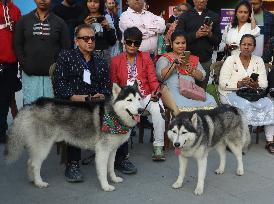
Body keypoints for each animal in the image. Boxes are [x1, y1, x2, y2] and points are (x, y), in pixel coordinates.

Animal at [4, 83, 143, 191]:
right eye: (129, 100)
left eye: (139, 99)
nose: (141, 110)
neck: (114, 115)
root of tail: (32, 104)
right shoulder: (102, 151)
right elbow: (103, 170)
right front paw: (105, 186)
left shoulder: (112, 150)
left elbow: (111, 167)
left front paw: (114, 179)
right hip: (43, 146)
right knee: (34, 164)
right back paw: (39, 182)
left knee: (30, 162)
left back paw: (32, 179)